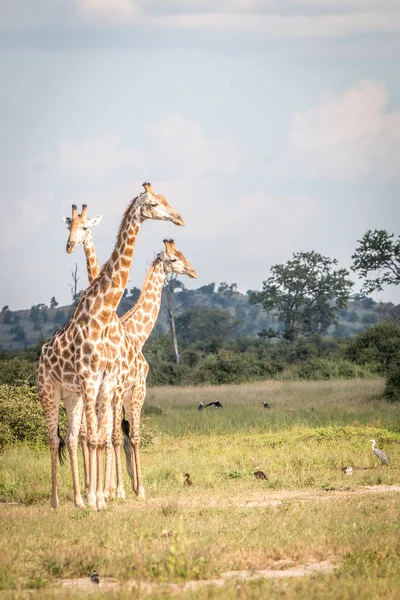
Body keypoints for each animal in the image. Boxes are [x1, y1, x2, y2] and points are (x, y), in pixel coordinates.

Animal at [36, 183, 184, 510]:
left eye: (166, 199)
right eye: (153, 204)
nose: (179, 218)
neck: (103, 312)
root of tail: (40, 355)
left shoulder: (106, 382)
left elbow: (102, 438)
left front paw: (101, 497)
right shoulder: (94, 379)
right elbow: (99, 437)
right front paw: (103, 496)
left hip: (73, 395)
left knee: (73, 436)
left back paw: (79, 499)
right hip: (49, 392)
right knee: (54, 439)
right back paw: (57, 500)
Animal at [63, 209, 198, 500]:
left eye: (182, 254)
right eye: (174, 258)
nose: (193, 271)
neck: (136, 332)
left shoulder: (118, 393)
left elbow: (117, 436)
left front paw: (117, 488)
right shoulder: (131, 389)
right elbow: (125, 437)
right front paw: (128, 489)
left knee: (82, 434)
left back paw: (88, 489)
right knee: (101, 434)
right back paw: (100, 490)